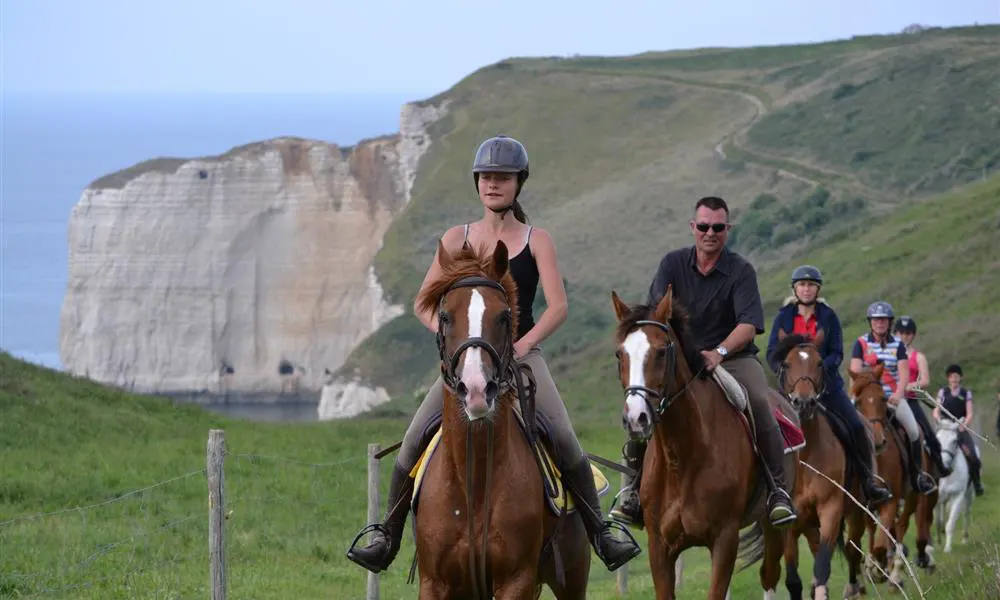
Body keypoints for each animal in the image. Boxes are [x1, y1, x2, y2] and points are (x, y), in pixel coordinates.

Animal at [410, 240, 588, 600]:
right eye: (445, 316)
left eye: (504, 316)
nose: (477, 390)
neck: (475, 480)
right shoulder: (435, 582)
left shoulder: (516, 580)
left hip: (571, 579)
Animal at [604, 286, 800, 600]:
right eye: (620, 354)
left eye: (661, 351)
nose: (636, 418)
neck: (683, 457)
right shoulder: (660, 546)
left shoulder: (724, 539)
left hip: (773, 527)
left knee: (769, 575)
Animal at [768, 328, 848, 600]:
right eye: (786, 364)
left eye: (820, 363)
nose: (804, 403)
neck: (806, 457)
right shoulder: (790, 522)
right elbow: (793, 580)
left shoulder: (831, 508)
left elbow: (821, 570)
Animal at [932, 418, 972, 552]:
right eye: (937, 440)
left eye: (955, 441)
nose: (943, 464)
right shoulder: (936, 498)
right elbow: (937, 522)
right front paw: (938, 544)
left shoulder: (958, 496)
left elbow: (951, 523)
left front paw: (947, 548)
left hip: (969, 495)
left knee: (966, 513)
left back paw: (965, 538)